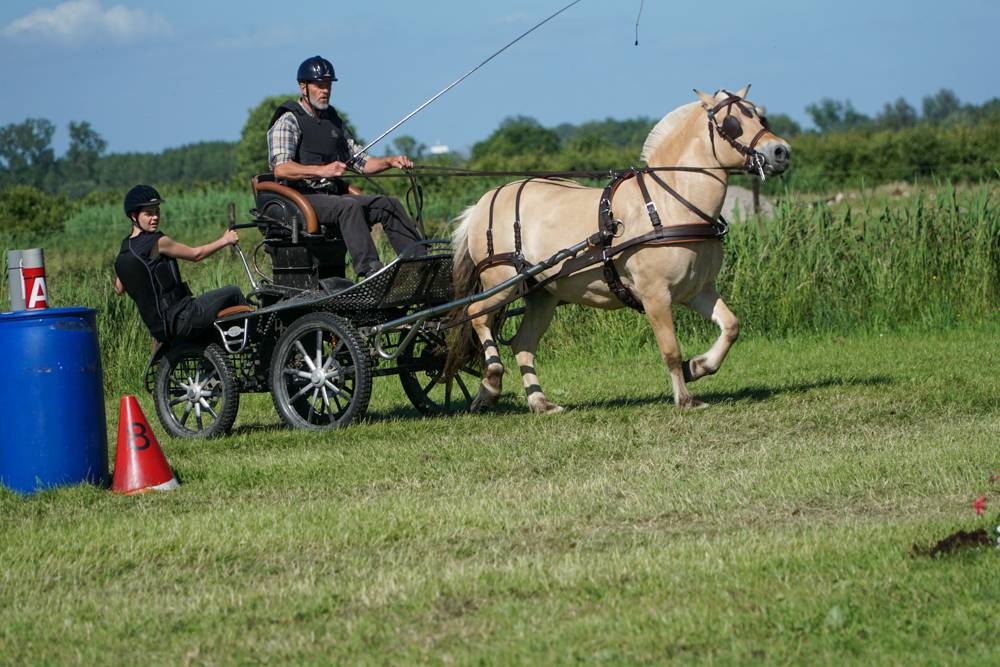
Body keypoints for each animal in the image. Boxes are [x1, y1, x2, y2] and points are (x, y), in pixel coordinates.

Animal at [450, 86, 792, 414]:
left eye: (760, 116)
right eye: (731, 123)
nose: (781, 151)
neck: (669, 203)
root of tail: (484, 201)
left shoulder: (697, 289)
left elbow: (731, 326)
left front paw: (698, 366)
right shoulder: (655, 295)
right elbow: (670, 350)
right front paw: (685, 399)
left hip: (542, 294)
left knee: (523, 344)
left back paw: (540, 404)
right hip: (501, 283)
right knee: (476, 316)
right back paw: (491, 384)